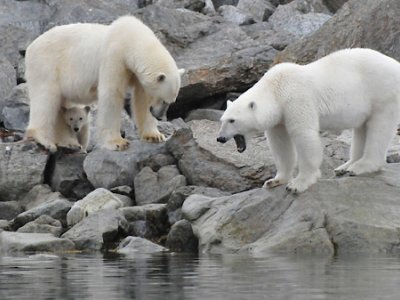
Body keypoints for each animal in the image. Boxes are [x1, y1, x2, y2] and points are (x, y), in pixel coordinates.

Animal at [25, 15, 185, 152]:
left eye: (172, 101)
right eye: (164, 100)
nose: (159, 116)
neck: (131, 39)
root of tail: (30, 47)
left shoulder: (136, 72)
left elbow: (142, 99)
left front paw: (155, 136)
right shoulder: (114, 56)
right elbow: (111, 94)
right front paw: (118, 143)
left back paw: (69, 142)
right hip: (47, 65)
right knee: (46, 98)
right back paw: (44, 140)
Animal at [217, 47, 400, 192]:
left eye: (232, 120)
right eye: (222, 120)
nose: (220, 138)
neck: (276, 88)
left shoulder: (296, 99)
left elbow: (303, 135)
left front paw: (298, 184)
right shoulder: (279, 116)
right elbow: (280, 143)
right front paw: (274, 180)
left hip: (382, 91)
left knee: (379, 127)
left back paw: (361, 166)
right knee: (362, 127)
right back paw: (345, 167)